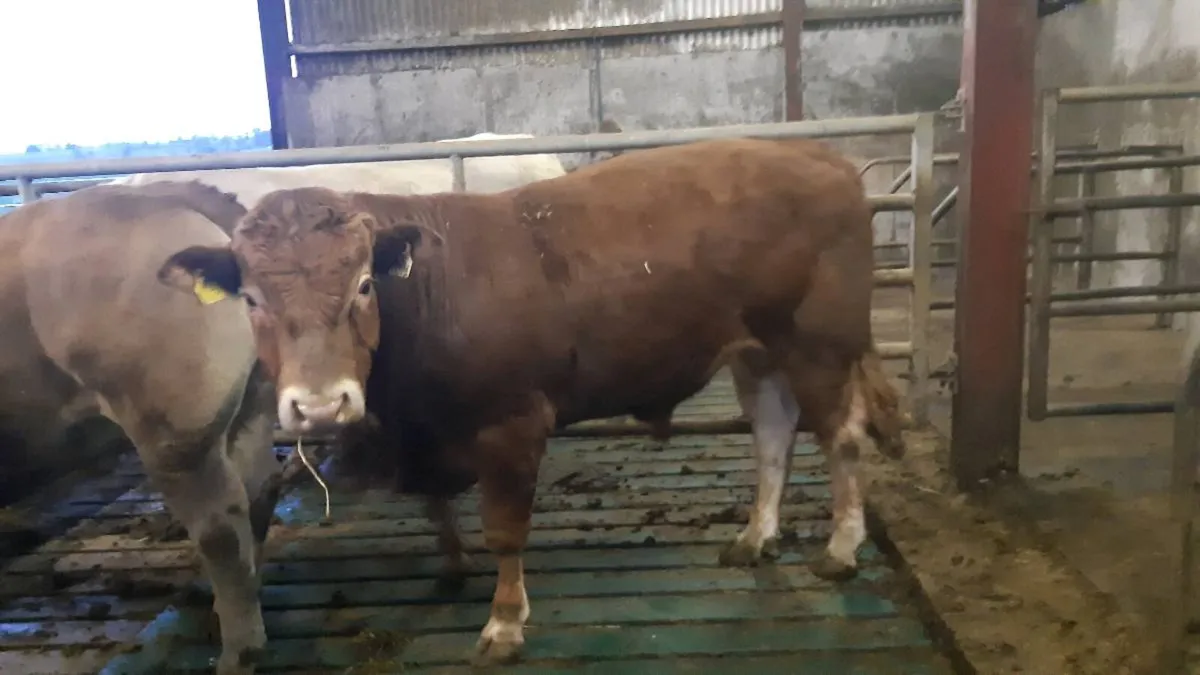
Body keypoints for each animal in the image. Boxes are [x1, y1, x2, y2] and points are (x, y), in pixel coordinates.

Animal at [158, 137, 909, 666]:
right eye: (251, 299)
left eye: (364, 285)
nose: (318, 406)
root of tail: (818, 156)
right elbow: (436, 503)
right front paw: (453, 566)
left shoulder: (511, 423)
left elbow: (506, 530)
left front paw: (504, 621)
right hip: (758, 350)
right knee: (773, 434)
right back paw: (756, 536)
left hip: (819, 342)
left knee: (842, 436)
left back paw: (840, 548)